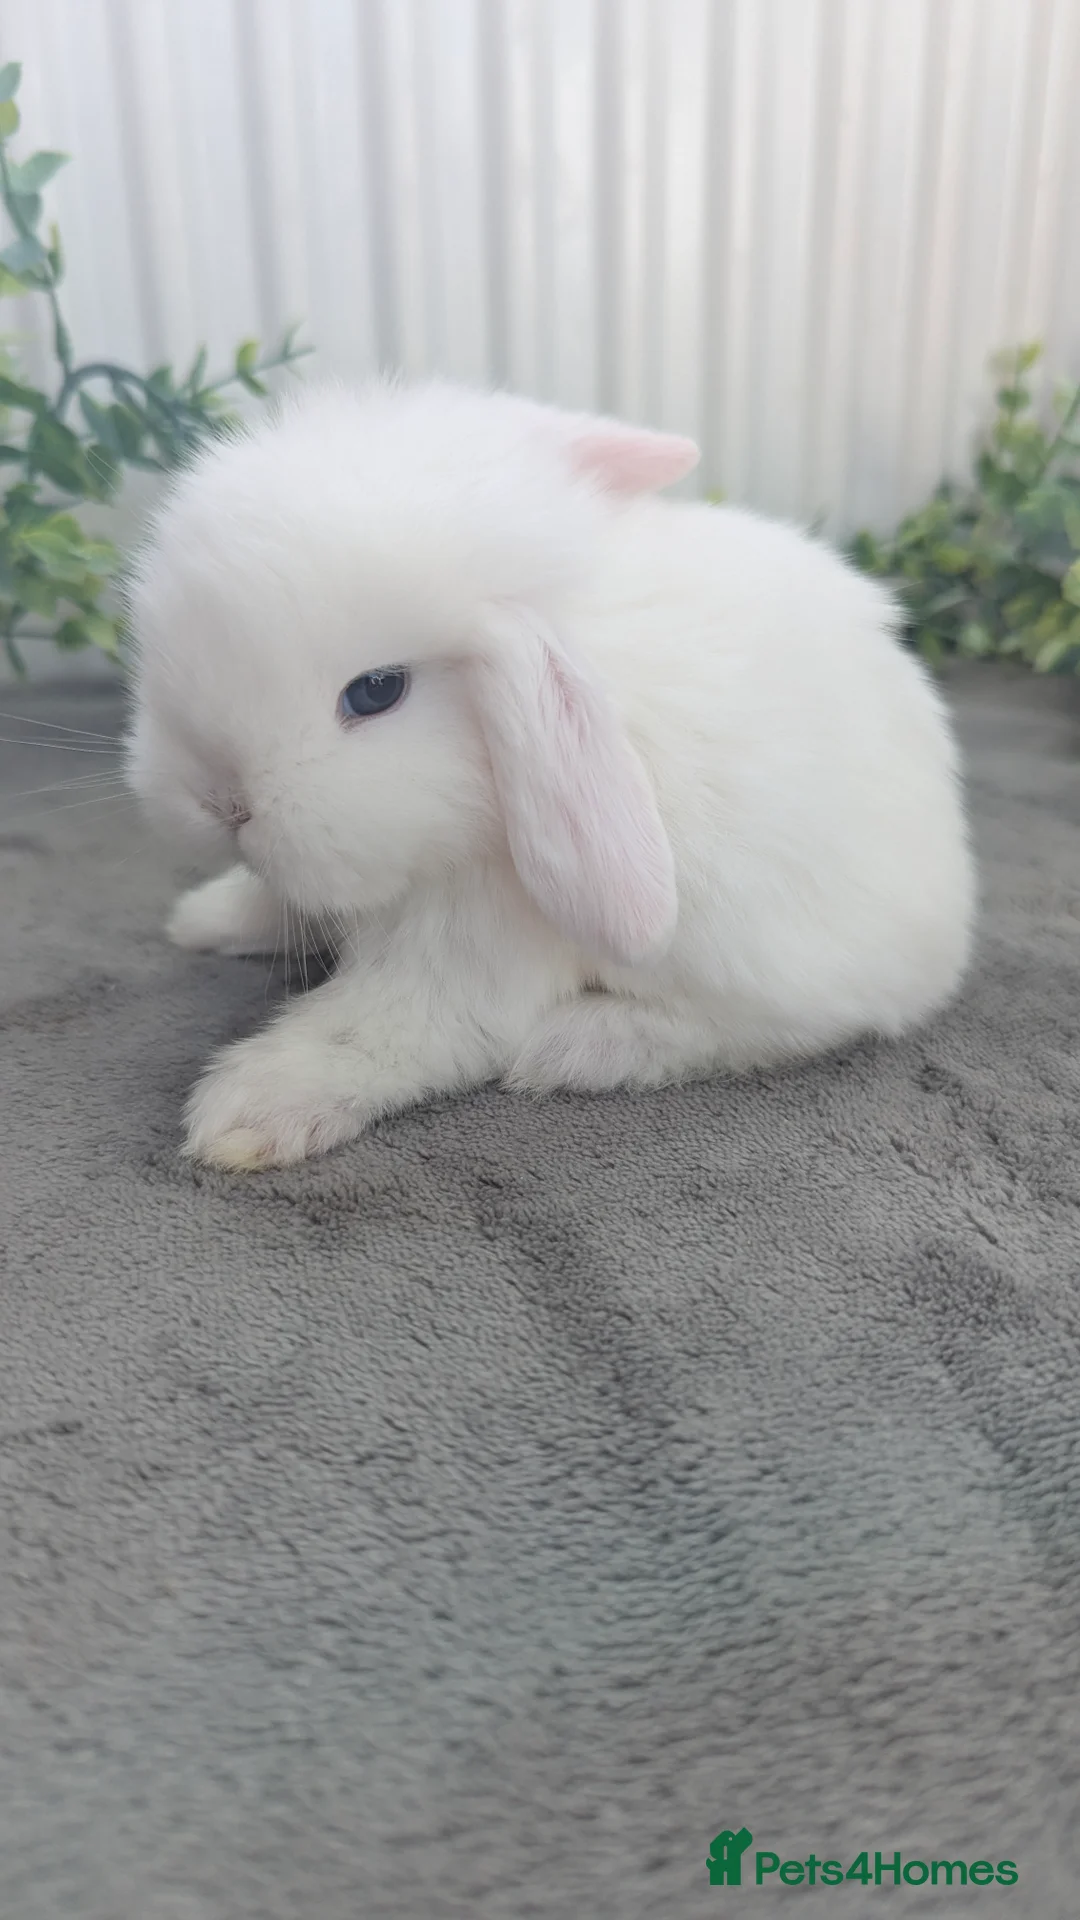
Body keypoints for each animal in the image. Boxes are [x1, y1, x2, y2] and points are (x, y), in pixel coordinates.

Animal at [125, 378, 974, 1170]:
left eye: (377, 691)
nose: (221, 801)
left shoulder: (471, 948)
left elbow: (377, 1032)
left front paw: (247, 1111)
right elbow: (280, 904)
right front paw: (203, 919)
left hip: (775, 967)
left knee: (760, 1031)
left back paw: (577, 1048)